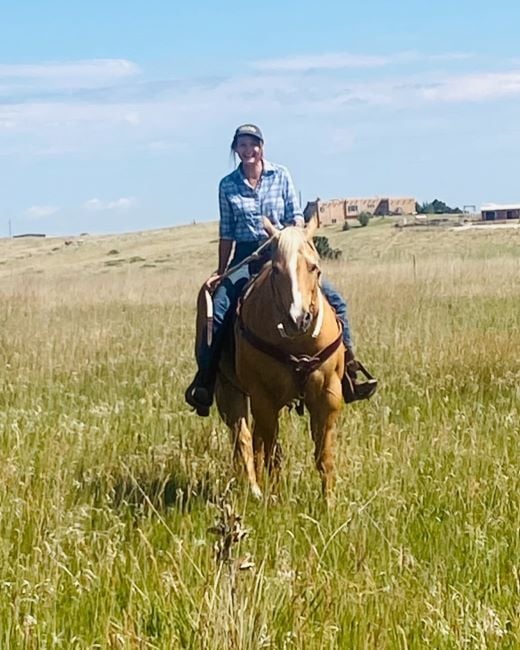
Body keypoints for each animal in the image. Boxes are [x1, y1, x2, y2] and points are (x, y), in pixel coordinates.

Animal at [199, 217, 345, 500]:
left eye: (314, 267)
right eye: (276, 270)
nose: (298, 319)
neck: (297, 343)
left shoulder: (328, 395)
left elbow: (324, 456)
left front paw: (329, 503)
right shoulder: (263, 397)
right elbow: (271, 454)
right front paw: (275, 499)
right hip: (228, 391)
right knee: (243, 438)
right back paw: (254, 489)